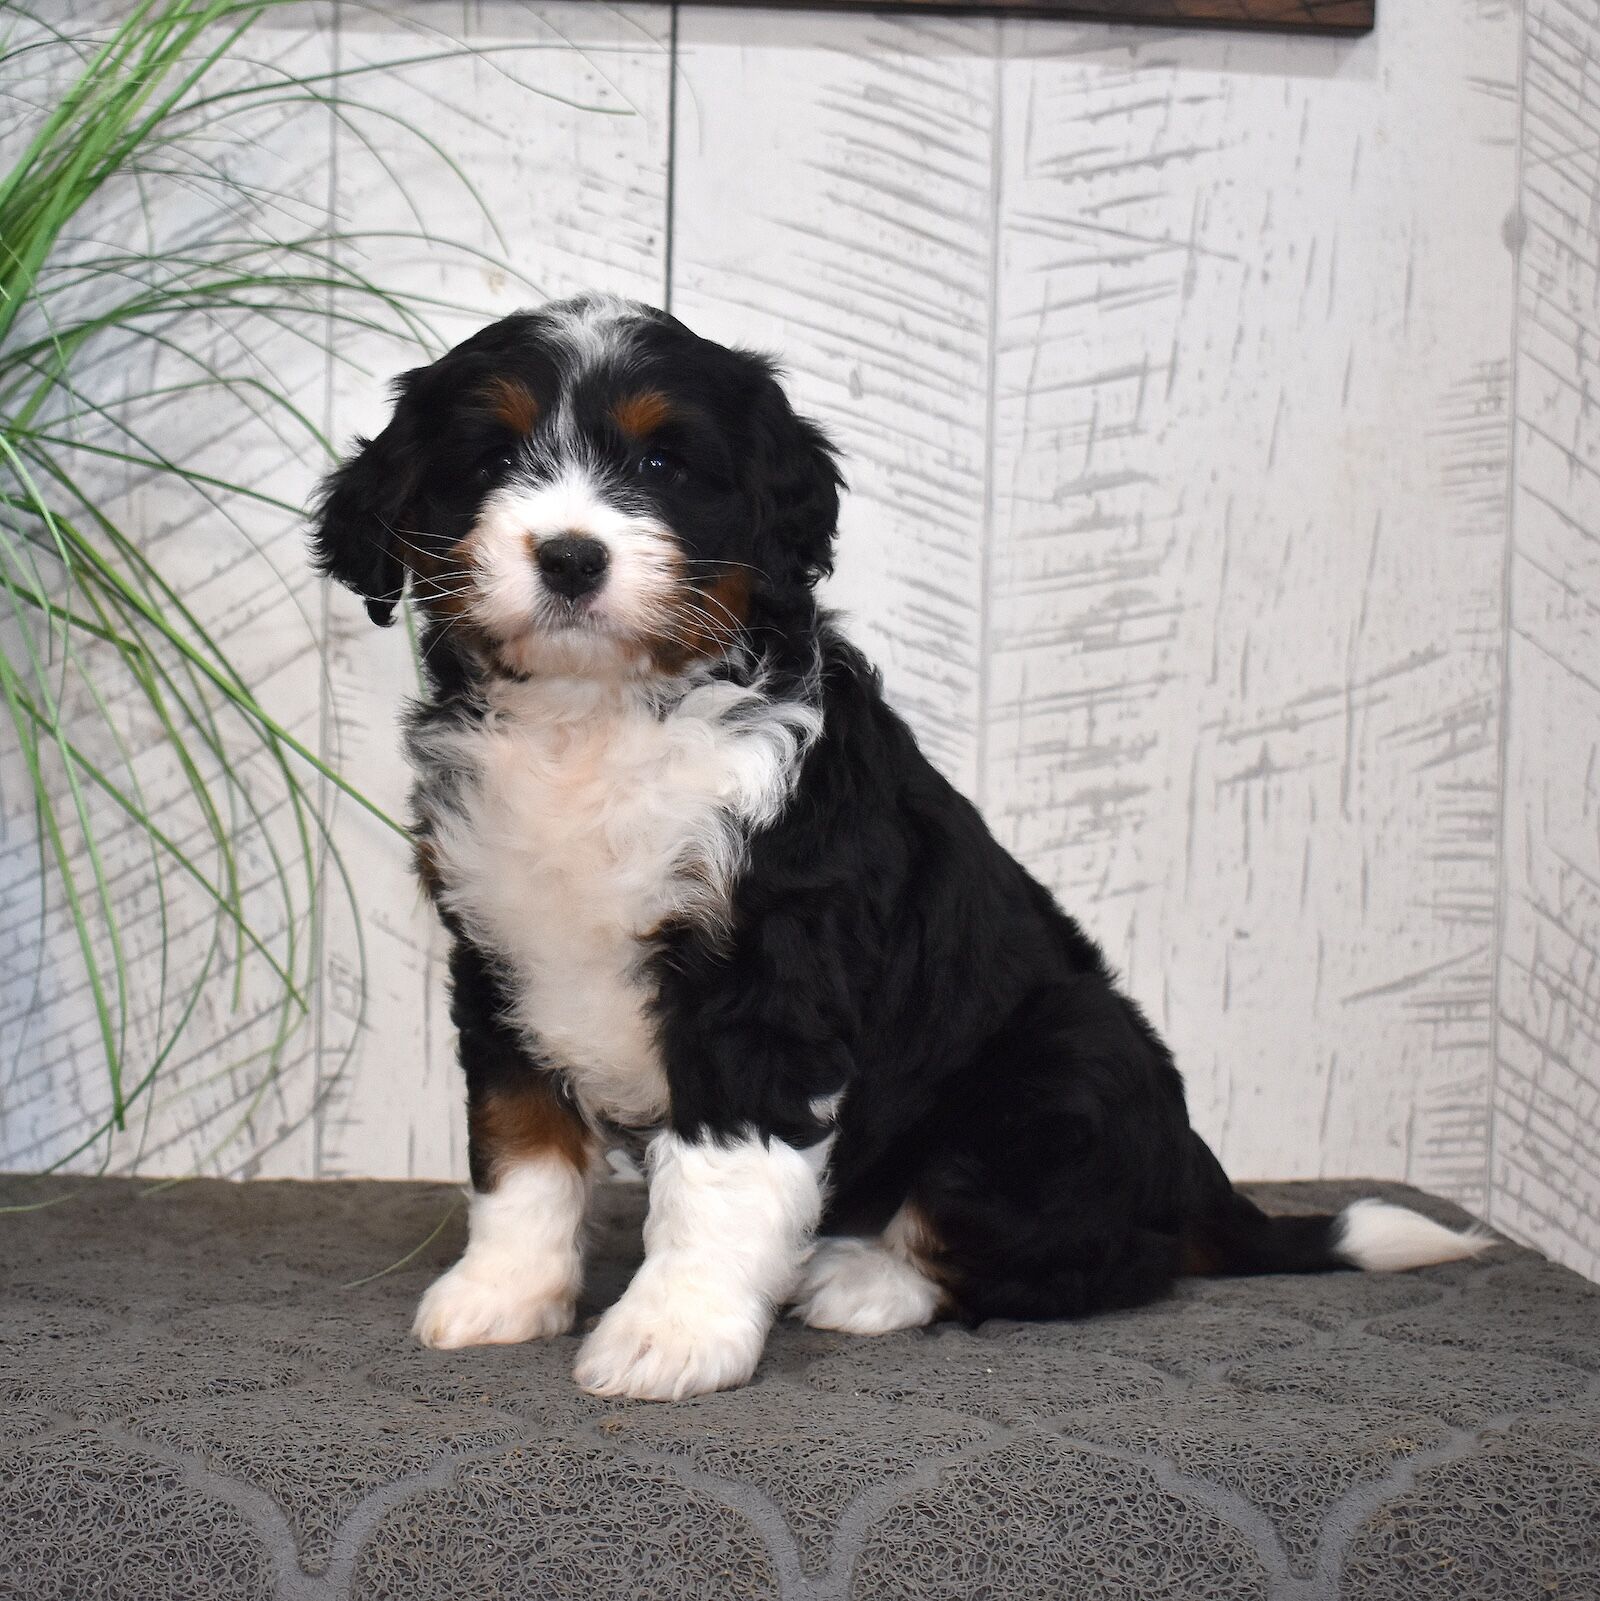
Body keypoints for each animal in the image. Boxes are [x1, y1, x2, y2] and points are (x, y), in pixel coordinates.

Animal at [312, 293, 1491, 1401]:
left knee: (1094, 1256)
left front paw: (671, 1334)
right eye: (491, 460)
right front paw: (503, 1291)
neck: (596, 721)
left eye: (660, 463)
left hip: (1065, 1060)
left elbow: (716, 1174)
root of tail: (1191, 1179)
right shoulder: (501, 949)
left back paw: (864, 1277)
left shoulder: (768, 976)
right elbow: (518, 1147)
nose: (569, 556)